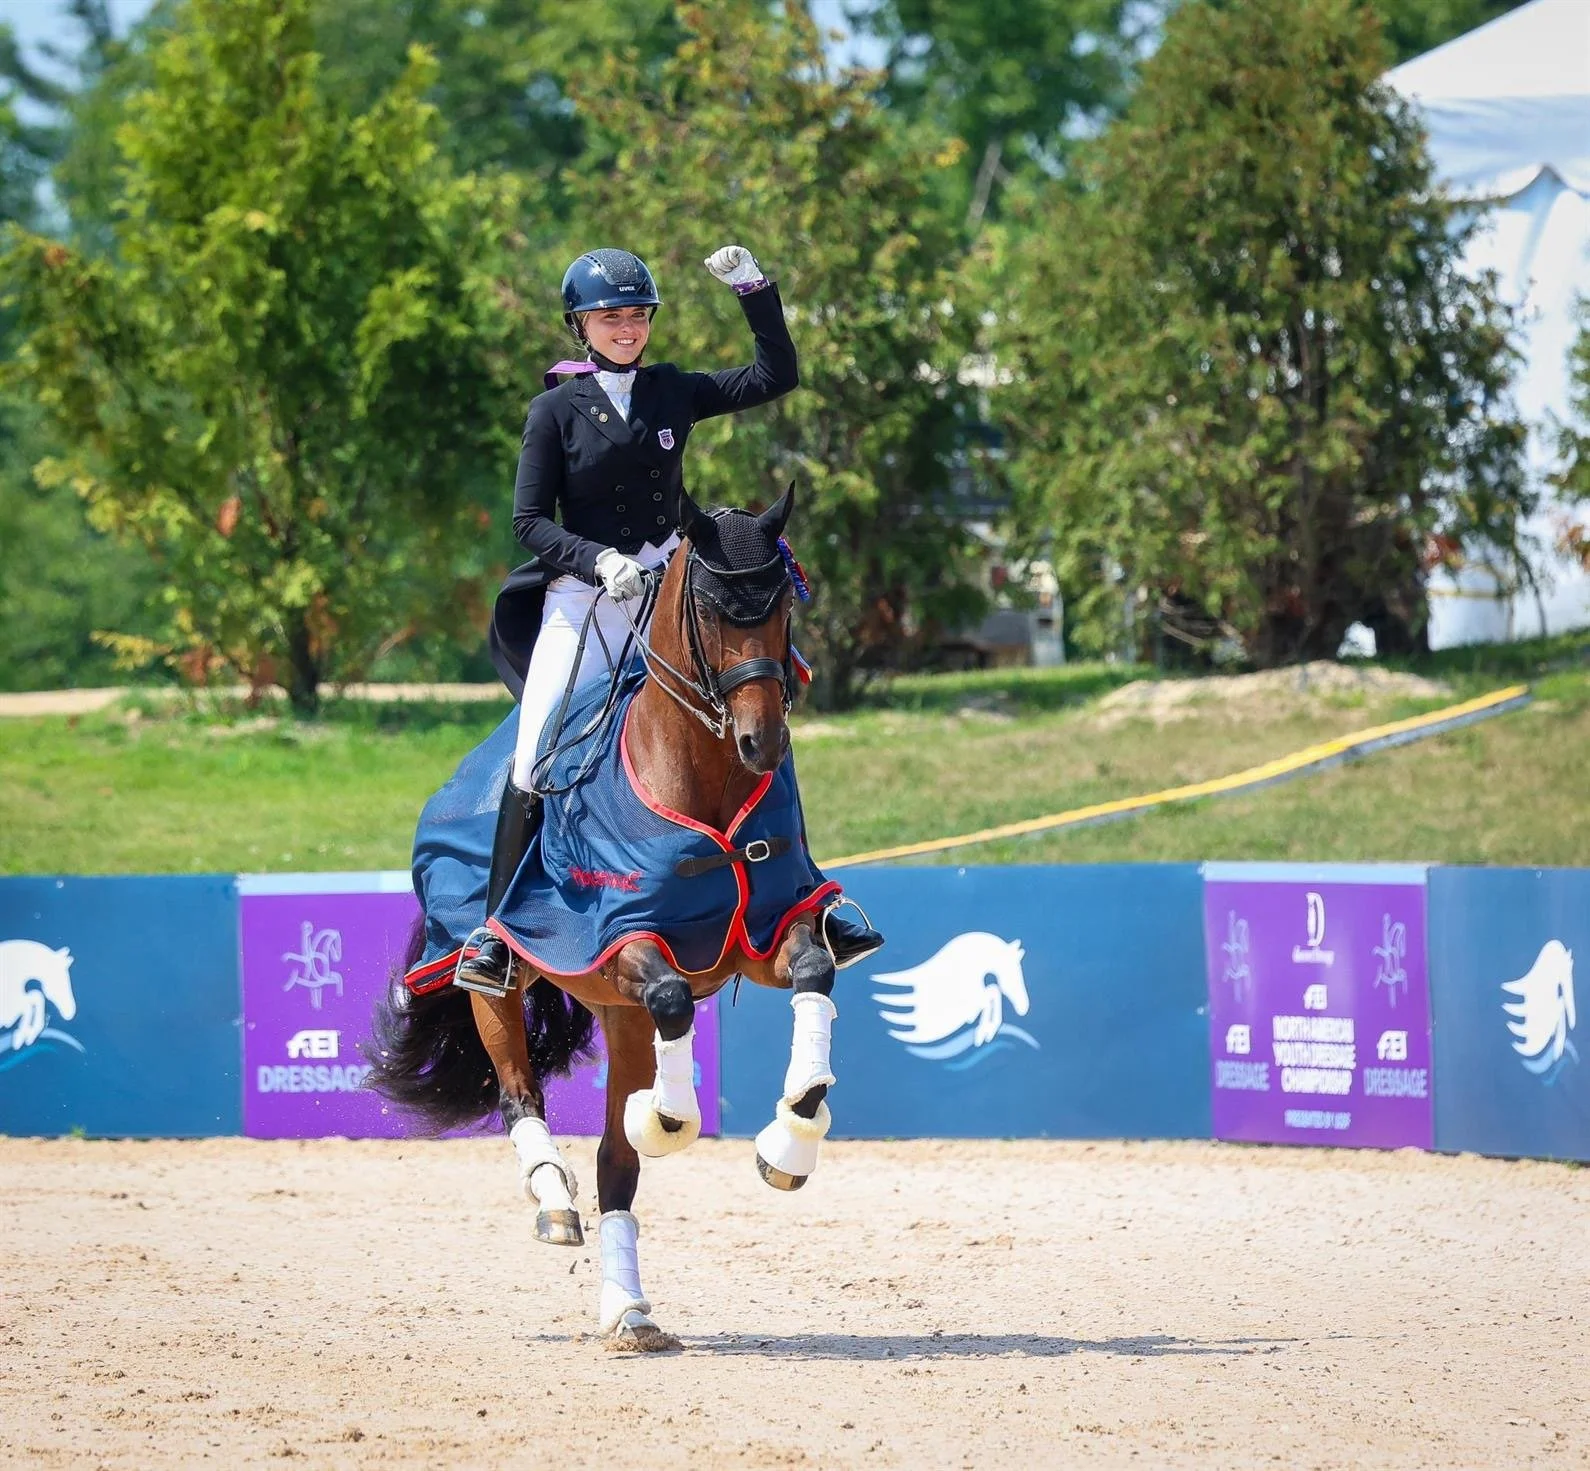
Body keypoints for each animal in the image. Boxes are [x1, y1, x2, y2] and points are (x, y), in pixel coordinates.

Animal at [365, 484, 842, 1351]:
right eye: (710, 607)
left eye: (784, 602)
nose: (762, 742)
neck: (701, 778)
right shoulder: (620, 936)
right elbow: (674, 1000)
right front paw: (671, 1118)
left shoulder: (767, 932)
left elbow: (815, 973)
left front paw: (790, 1139)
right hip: (499, 979)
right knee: (520, 1090)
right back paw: (554, 1200)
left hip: (619, 1017)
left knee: (615, 1168)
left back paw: (629, 1307)